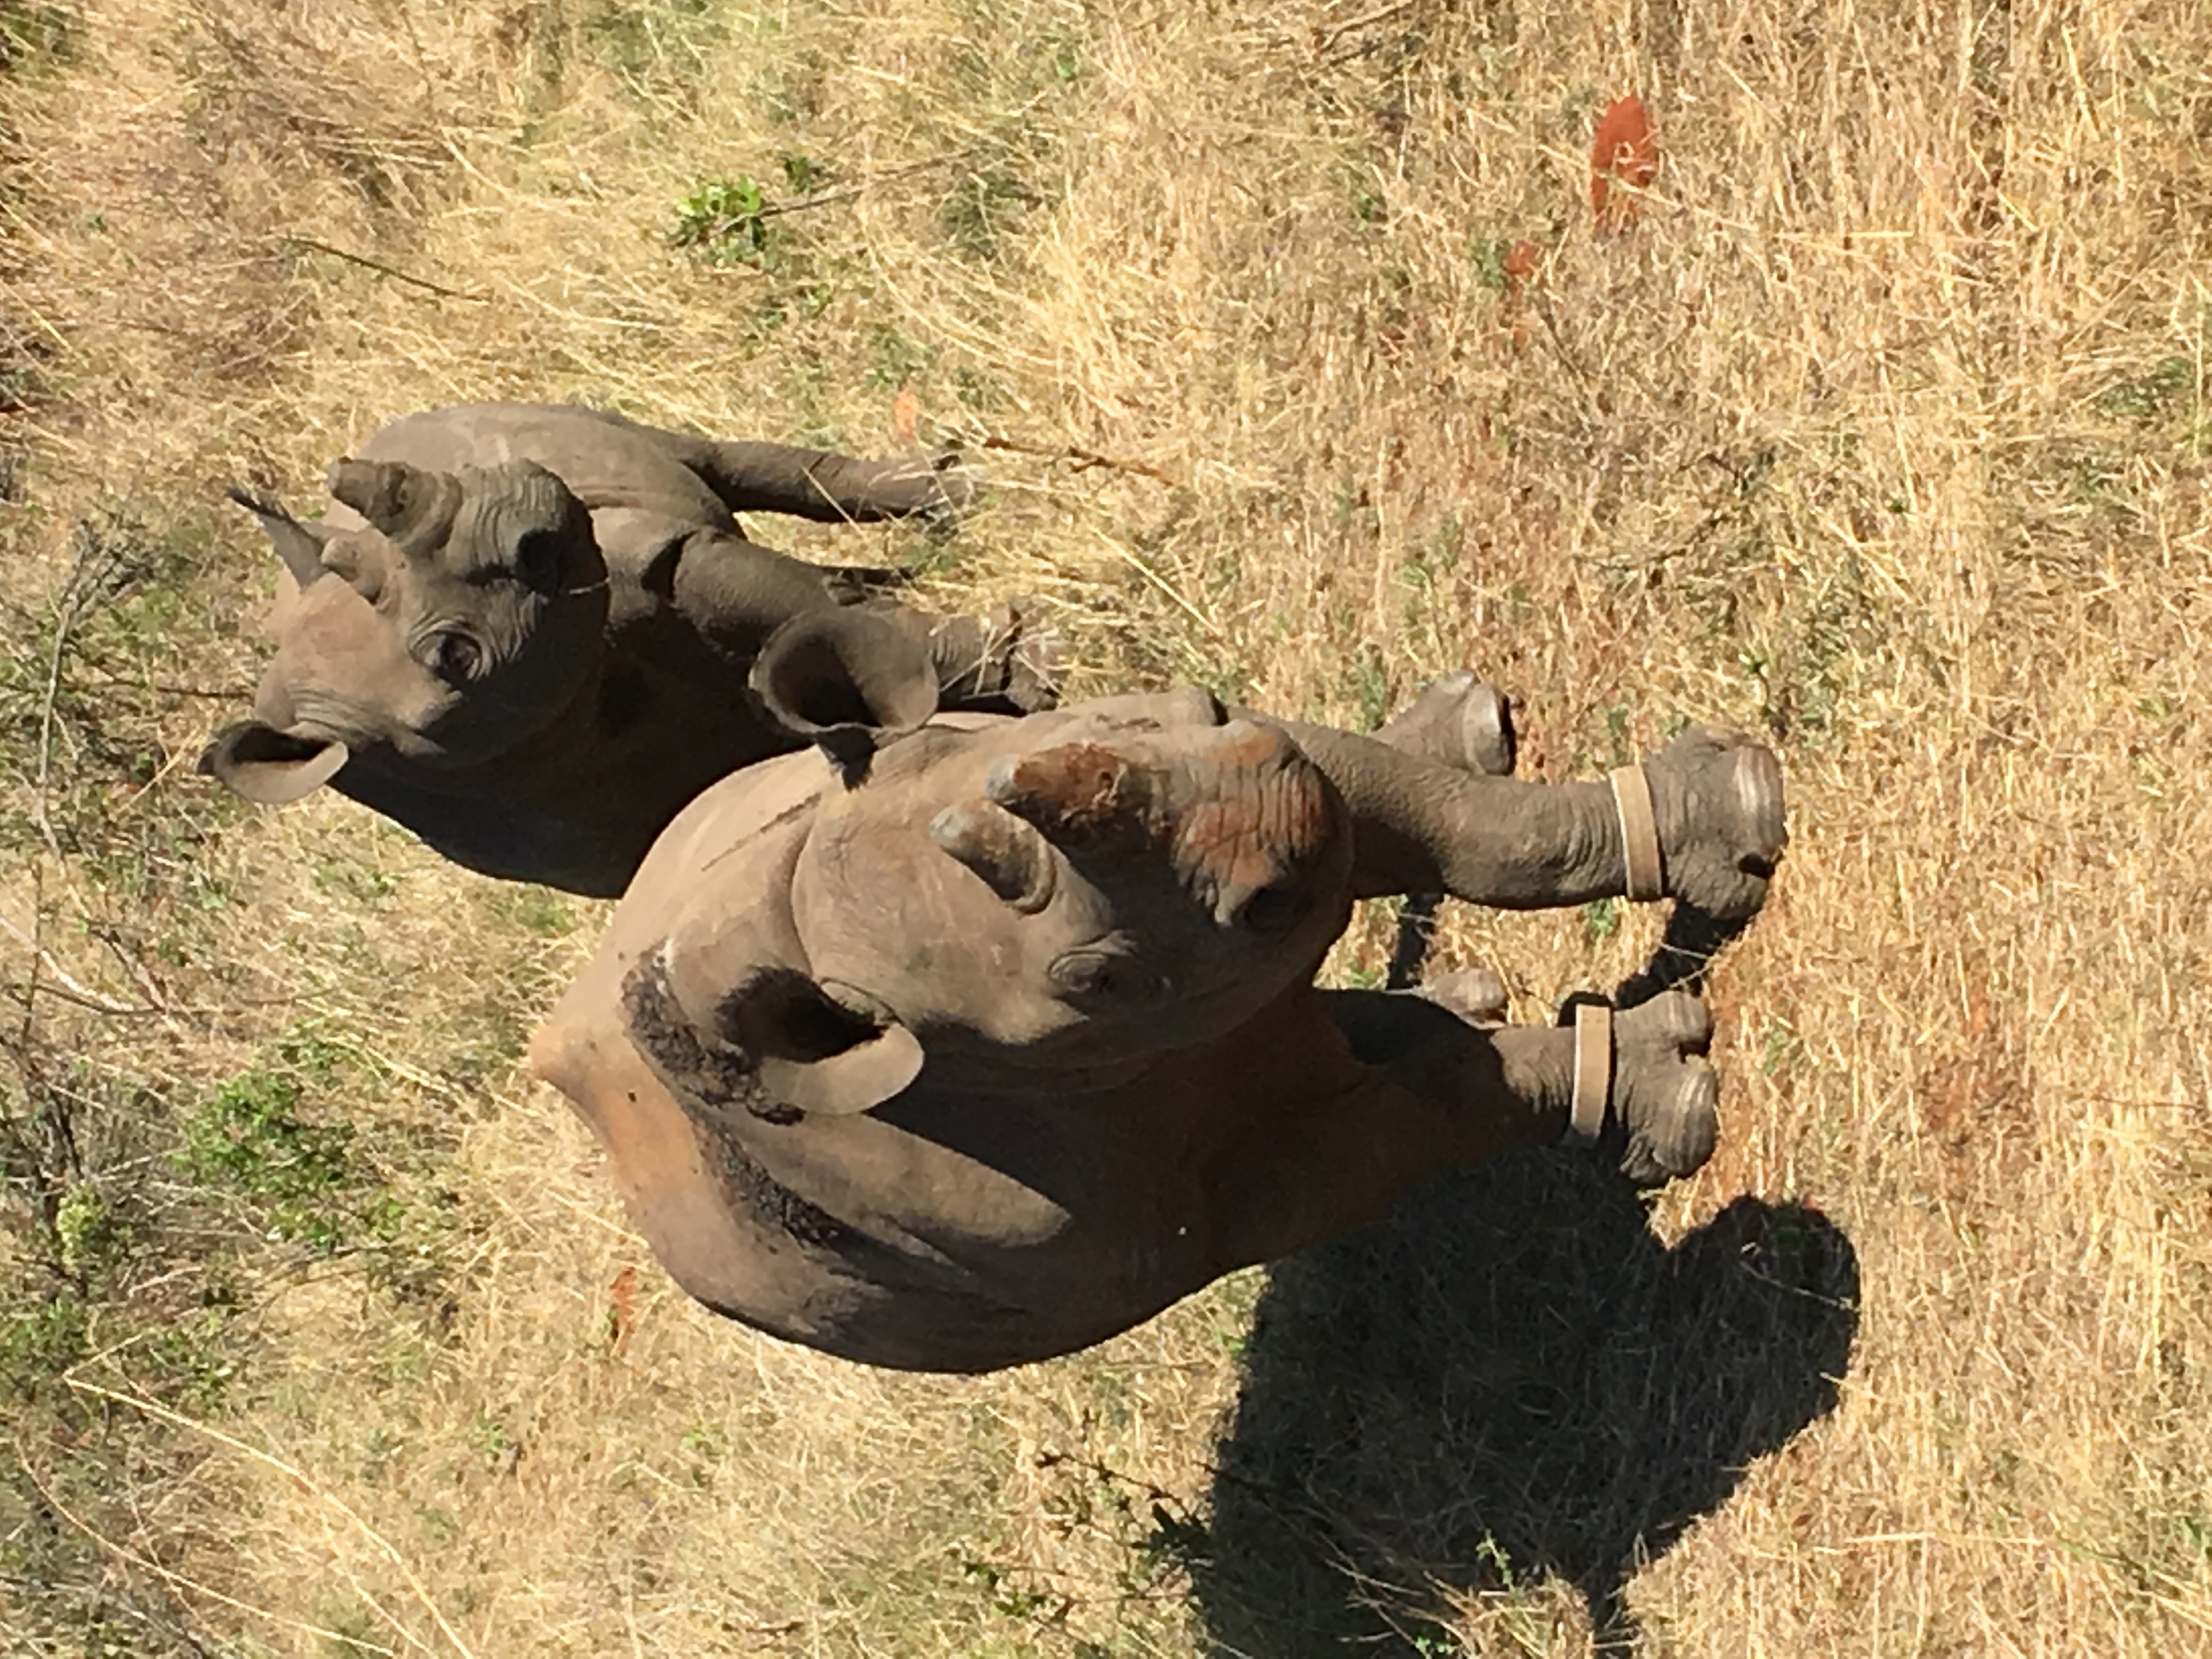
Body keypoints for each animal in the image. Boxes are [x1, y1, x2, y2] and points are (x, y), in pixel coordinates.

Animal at [201, 402, 1054, 895]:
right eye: (455, 656)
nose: (532, 513)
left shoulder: (639, 560)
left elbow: (760, 597)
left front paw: (1033, 669)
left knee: (712, 462)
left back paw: (963, 494)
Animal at [532, 610, 1787, 1372]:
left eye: (1193, 709)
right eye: (1096, 978)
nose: (1271, 831)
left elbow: (1456, 828)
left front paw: (1725, 809)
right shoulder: (1168, 1204)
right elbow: (1424, 1114)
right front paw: (1669, 1102)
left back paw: (1461, 752)